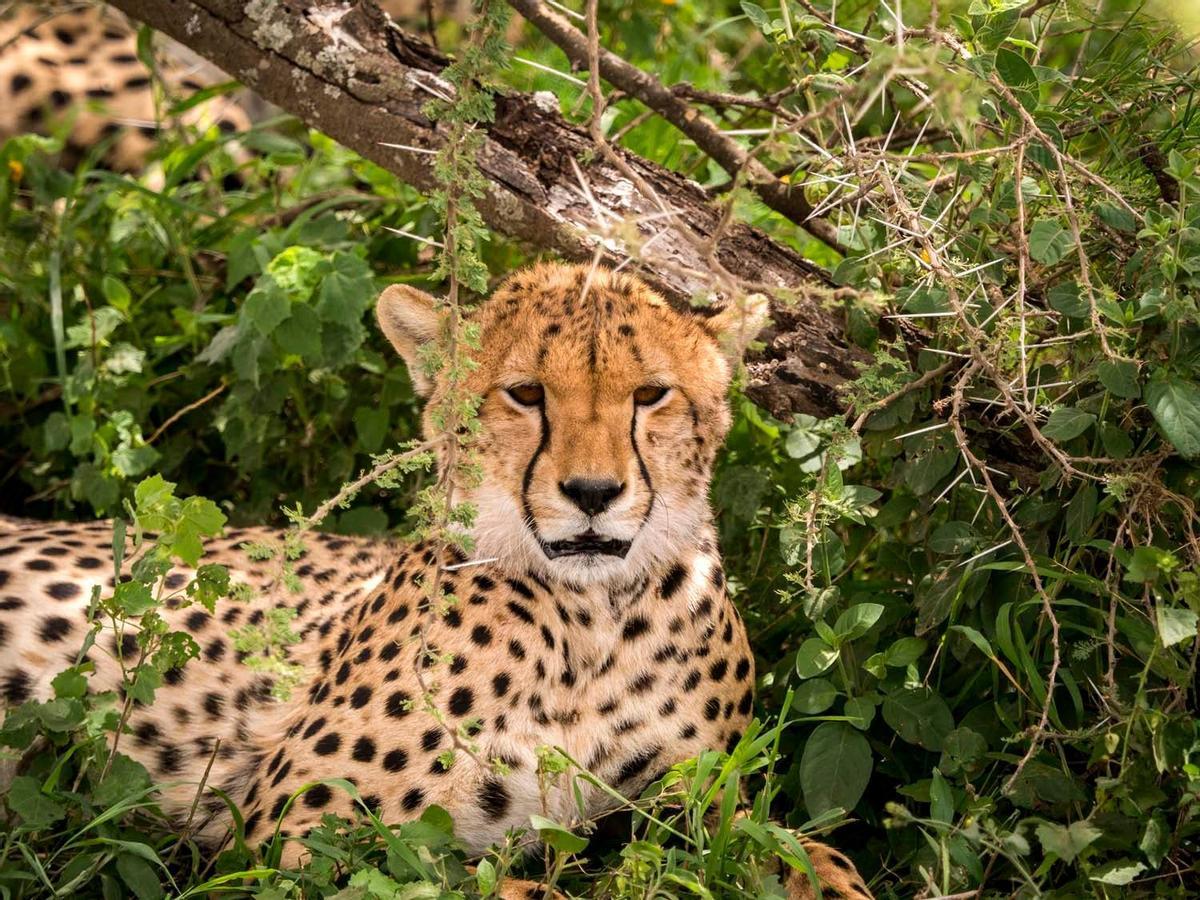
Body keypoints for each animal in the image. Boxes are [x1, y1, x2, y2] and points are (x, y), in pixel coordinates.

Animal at [0, 264, 873, 897]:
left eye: (651, 394)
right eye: (526, 394)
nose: (593, 493)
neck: (590, 620)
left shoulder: (697, 799)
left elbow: (806, 851)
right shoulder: (301, 831)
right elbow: (496, 886)